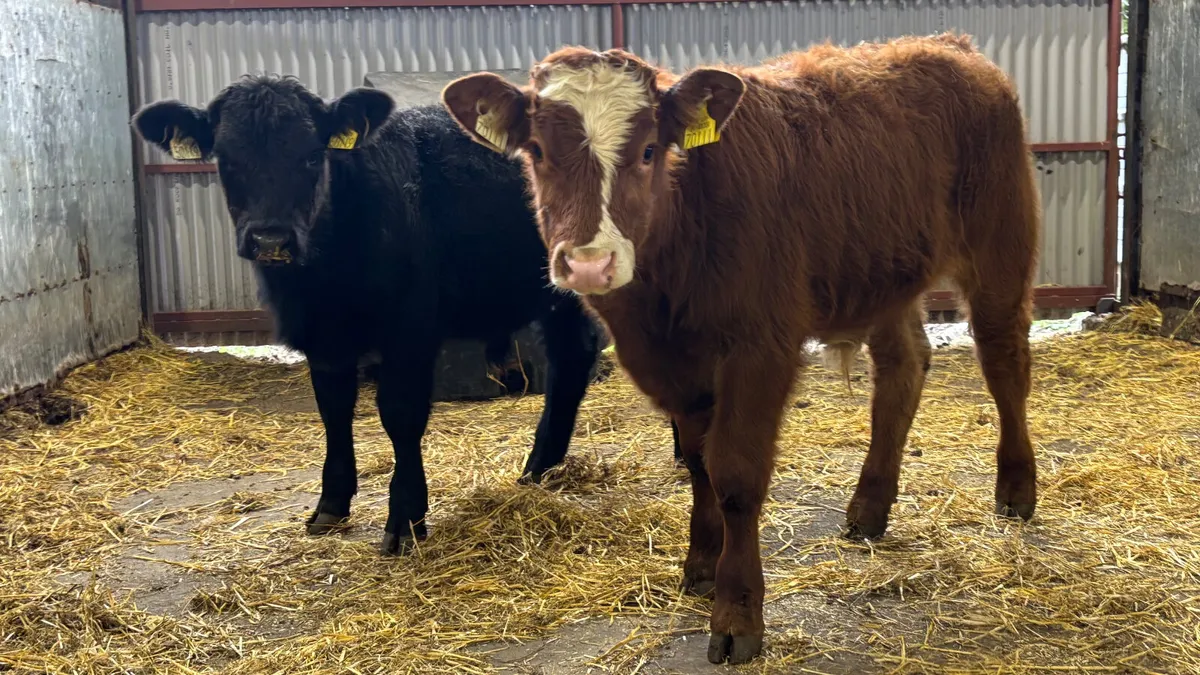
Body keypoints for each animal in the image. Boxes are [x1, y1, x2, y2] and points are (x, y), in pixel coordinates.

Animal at [132, 76, 681, 556]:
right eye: (226, 160)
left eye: (312, 154)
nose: (271, 239)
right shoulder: (323, 337)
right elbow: (333, 411)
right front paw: (330, 505)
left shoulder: (410, 329)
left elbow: (400, 415)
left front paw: (405, 521)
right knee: (573, 357)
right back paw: (538, 470)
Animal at [442, 33, 1040, 663]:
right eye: (535, 151)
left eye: (650, 150)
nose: (588, 263)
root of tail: (948, 45)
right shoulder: (668, 359)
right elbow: (698, 462)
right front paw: (701, 564)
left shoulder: (760, 346)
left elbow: (734, 473)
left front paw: (737, 611)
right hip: (884, 275)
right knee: (902, 369)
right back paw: (869, 507)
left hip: (999, 242)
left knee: (1005, 359)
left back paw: (1016, 489)